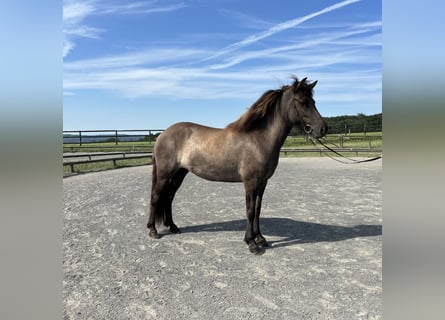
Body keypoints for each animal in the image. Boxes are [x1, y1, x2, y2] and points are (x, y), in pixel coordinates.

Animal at [146, 76, 326, 254]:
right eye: (302, 102)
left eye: (313, 101)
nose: (323, 129)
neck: (258, 139)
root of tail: (162, 134)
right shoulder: (250, 182)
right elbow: (250, 210)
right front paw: (251, 243)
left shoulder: (262, 182)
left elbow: (258, 209)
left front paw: (260, 238)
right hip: (164, 174)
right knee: (156, 196)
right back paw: (153, 230)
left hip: (180, 173)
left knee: (169, 197)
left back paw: (173, 226)